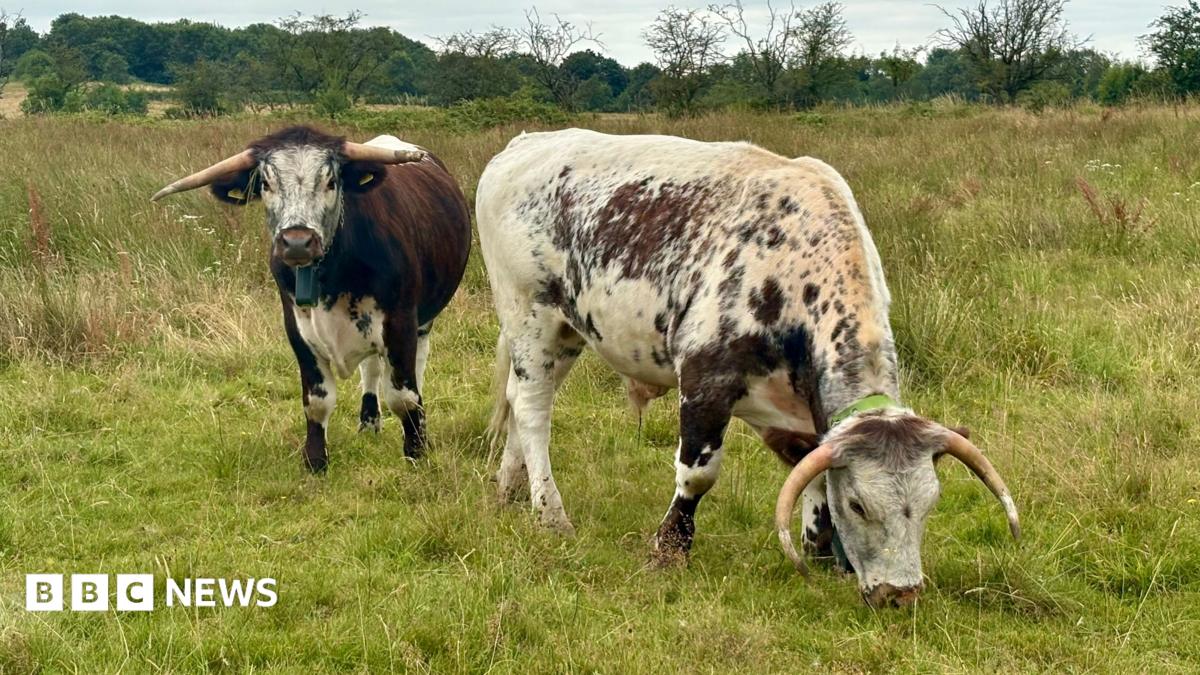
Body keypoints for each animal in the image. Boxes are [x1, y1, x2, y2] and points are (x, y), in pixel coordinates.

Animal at [152, 126, 471, 472]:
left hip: (423, 323)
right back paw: (368, 423)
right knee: (371, 369)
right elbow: (317, 401)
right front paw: (316, 461)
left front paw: (416, 450)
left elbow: (404, 396)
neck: (330, 273)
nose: (297, 242)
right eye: (266, 183)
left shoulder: (401, 323)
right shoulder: (297, 330)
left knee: (415, 370)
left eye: (331, 181)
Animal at [476, 128, 1019, 607]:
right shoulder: (705, 381)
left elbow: (809, 470)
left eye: (931, 504)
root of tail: (523, 144)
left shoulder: (796, 412)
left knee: (519, 401)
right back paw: (550, 514)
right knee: (533, 412)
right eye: (859, 504)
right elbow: (697, 475)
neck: (798, 268)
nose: (899, 594)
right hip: (529, 317)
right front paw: (669, 549)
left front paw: (822, 551)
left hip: (567, 333)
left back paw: (509, 489)